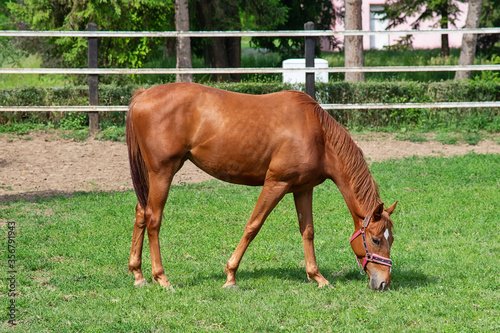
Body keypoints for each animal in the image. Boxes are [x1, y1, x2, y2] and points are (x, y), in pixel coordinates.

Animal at [126, 82, 398, 290]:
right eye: (375, 240)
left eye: (391, 239)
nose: (384, 282)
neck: (317, 134)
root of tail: (143, 95)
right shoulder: (276, 184)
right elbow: (253, 226)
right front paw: (231, 276)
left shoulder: (302, 189)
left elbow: (307, 231)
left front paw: (317, 277)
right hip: (162, 173)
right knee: (153, 219)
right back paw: (162, 278)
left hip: (153, 176)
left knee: (141, 213)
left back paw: (138, 275)